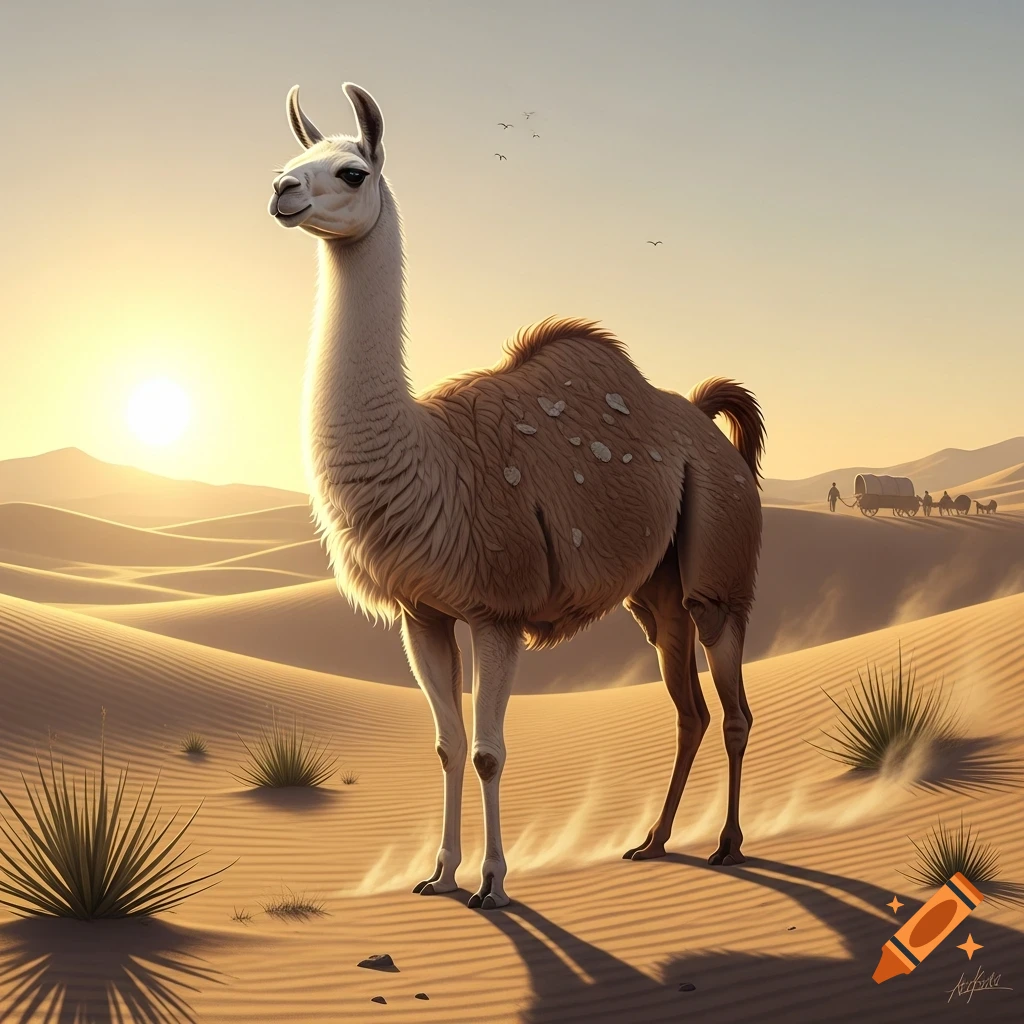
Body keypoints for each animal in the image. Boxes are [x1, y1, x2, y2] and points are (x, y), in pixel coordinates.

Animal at [268, 82, 766, 909]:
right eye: (293, 159)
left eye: (350, 171)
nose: (280, 191)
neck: (427, 460)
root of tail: (705, 420)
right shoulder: (422, 612)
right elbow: (446, 744)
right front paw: (438, 874)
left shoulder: (497, 606)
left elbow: (489, 751)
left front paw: (493, 884)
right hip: (655, 591)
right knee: (689, 709)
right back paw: (654, 841)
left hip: (720, 563)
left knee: (732, 708)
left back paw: (728, 845)